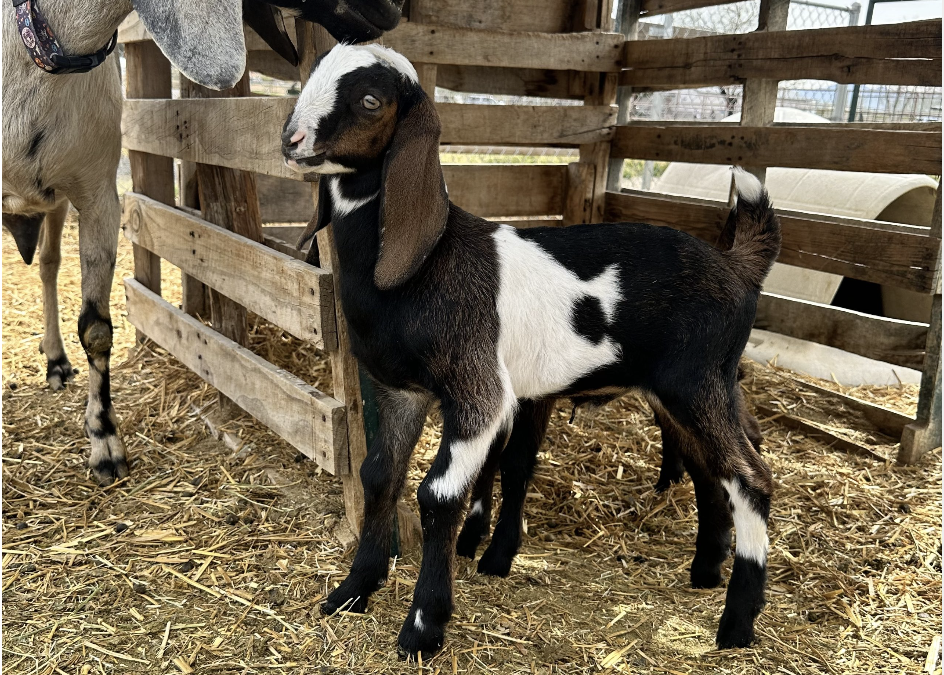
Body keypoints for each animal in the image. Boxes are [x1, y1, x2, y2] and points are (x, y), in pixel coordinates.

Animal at [0, 0, 400, 486]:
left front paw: (105, 443)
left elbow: (95, 329)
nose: (394, 10)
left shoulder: (97, 193)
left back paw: (56, 360)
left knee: (48, 262)